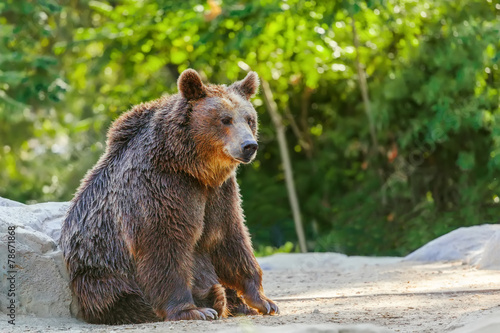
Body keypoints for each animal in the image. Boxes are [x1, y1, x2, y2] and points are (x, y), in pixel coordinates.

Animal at [60, 68, 280, 322]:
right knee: (123, 297)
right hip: (102, 272)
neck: (191, 167)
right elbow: (164, 243)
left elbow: (229, 237)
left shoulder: (219, 193)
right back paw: (211, 299)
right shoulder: (160, 186)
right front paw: (191, 310)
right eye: (225, 119)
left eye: (249, 119)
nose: (249, 146)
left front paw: (264, 301)